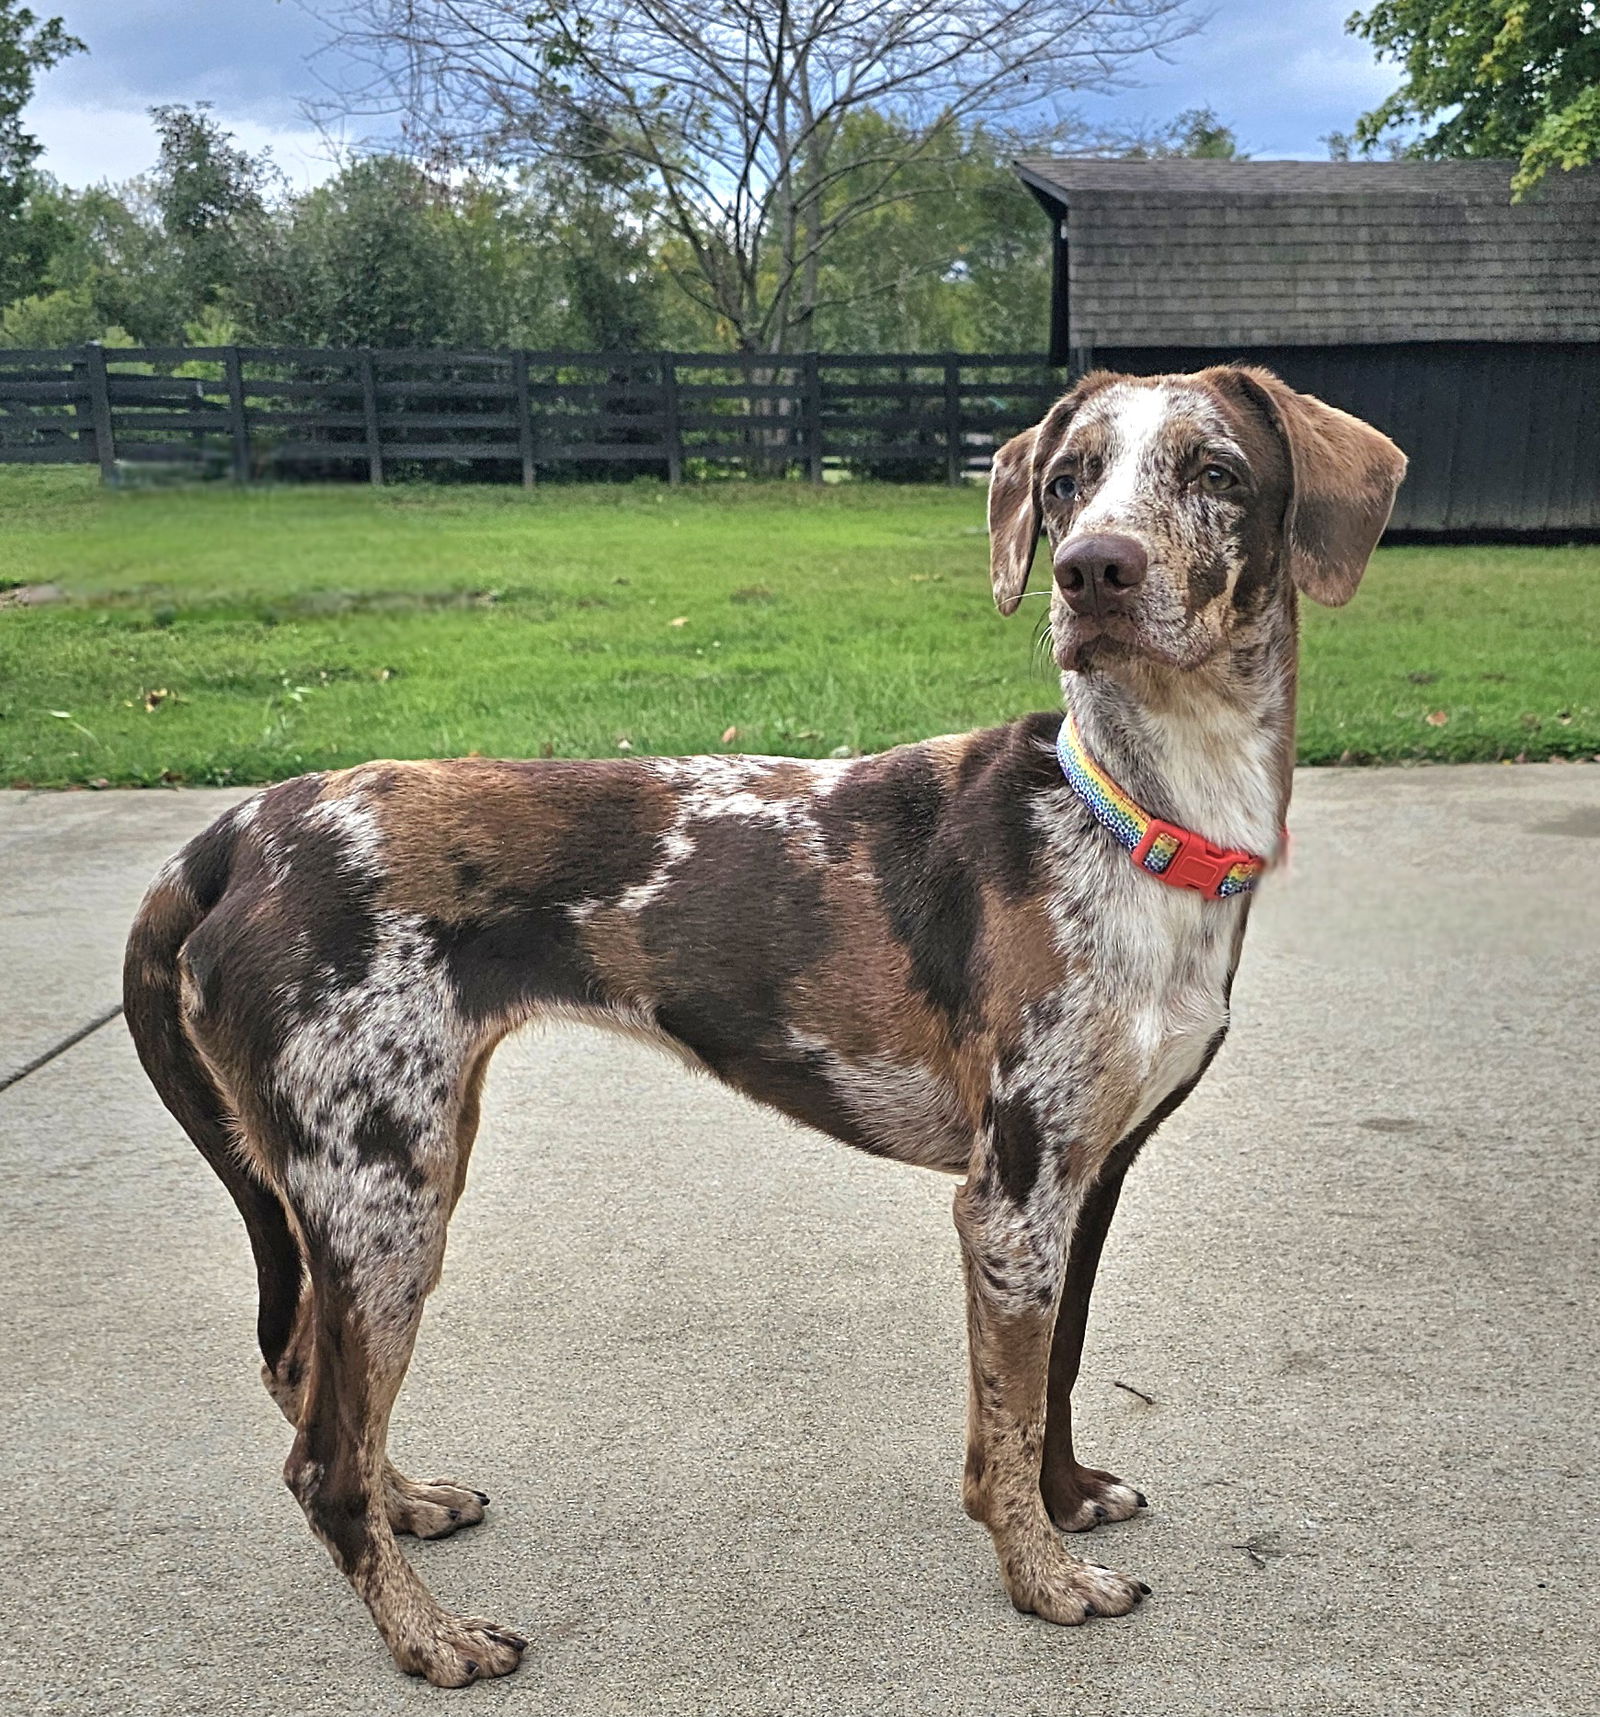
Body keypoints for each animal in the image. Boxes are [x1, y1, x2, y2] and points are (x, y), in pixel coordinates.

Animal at [121, 365, 1400, 1689]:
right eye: (1065, 480)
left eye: (1217, 472)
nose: (1091, 568)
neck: (1136, 812)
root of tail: (237, 834)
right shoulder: (1011, 1193)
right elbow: (1002, 1415)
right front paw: (1041, 1576)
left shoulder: (1087, 1174)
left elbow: (1056, 1369)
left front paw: (1068, 1497)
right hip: (381, 1191)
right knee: (322, 1460)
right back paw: (431, 1636)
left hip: (391, 1165)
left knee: (310, 1381)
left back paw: (407, 1495)